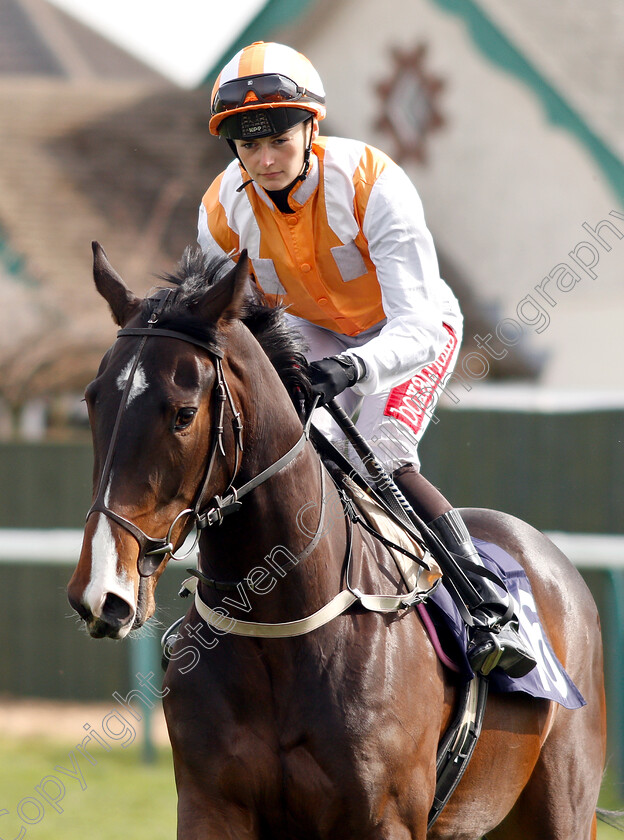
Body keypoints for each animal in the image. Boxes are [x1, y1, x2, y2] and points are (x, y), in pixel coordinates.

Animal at [67, 240, 604, 836]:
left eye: (184, 414)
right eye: (93, 400)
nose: (102, 592)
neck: (278, 626)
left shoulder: (387, 818)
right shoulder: (210, 805)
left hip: (564, 806)